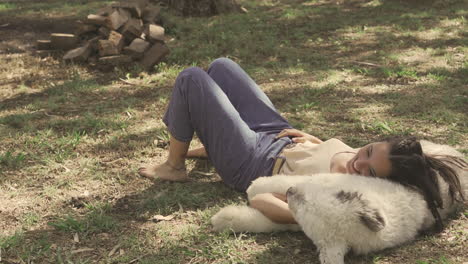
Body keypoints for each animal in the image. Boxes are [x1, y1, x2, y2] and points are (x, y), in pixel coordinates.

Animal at [213, 140, 468, 262]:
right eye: (339, 194)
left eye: (305, 211)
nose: (292, 192)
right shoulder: (323, 178)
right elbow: (278, 184)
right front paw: (254, 188)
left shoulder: (293, 217)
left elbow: (270, 219)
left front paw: (226, 217)